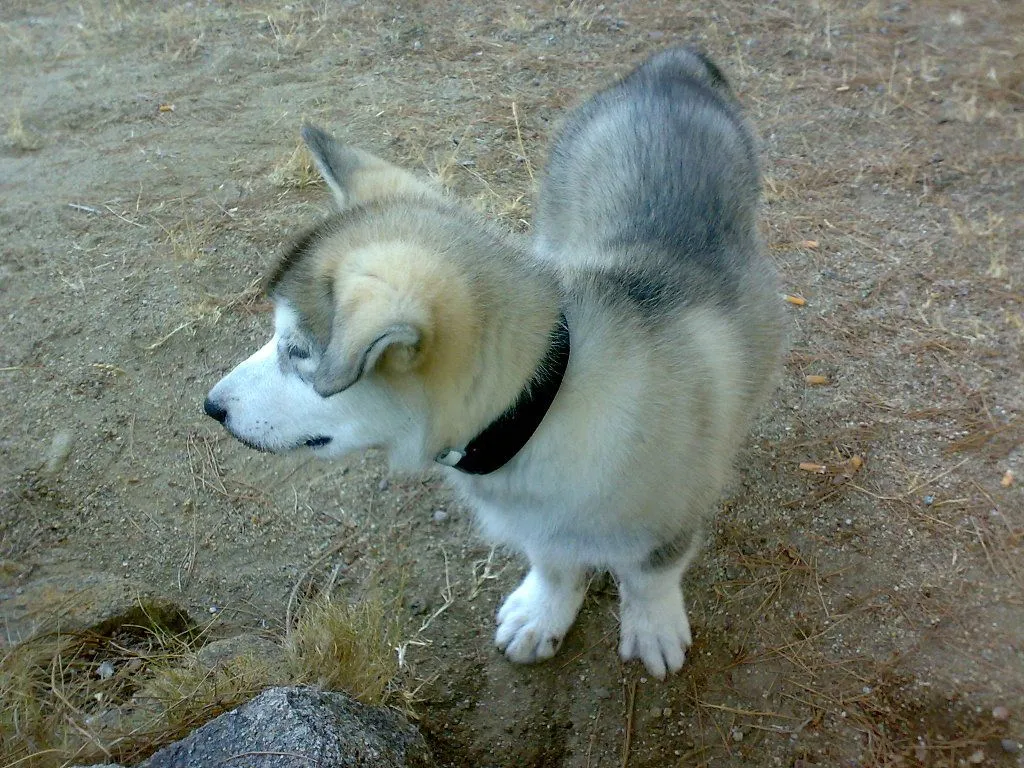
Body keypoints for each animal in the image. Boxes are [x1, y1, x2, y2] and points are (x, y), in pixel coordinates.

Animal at [205, 46, 782, 679]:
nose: (211, 406)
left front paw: (652, 626)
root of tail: (669, 67)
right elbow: (553, 560)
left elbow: (651, 573)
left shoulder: (672, 513)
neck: (546, 400)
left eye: (297, 352)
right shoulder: (540, 520)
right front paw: (544, 611)